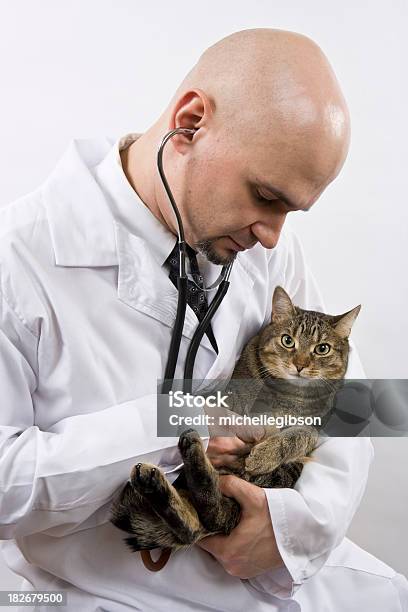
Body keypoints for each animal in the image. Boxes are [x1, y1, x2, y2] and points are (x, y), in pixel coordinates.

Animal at [109, 286, 360, 564]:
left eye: (322, 349)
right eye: (288, 341)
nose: (300, 365)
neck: (289, 394)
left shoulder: (313, 427)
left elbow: (295, 437)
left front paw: (263, 455)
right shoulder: (234, 399)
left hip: (282, 474)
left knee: (204, 522)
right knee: (205, 519)